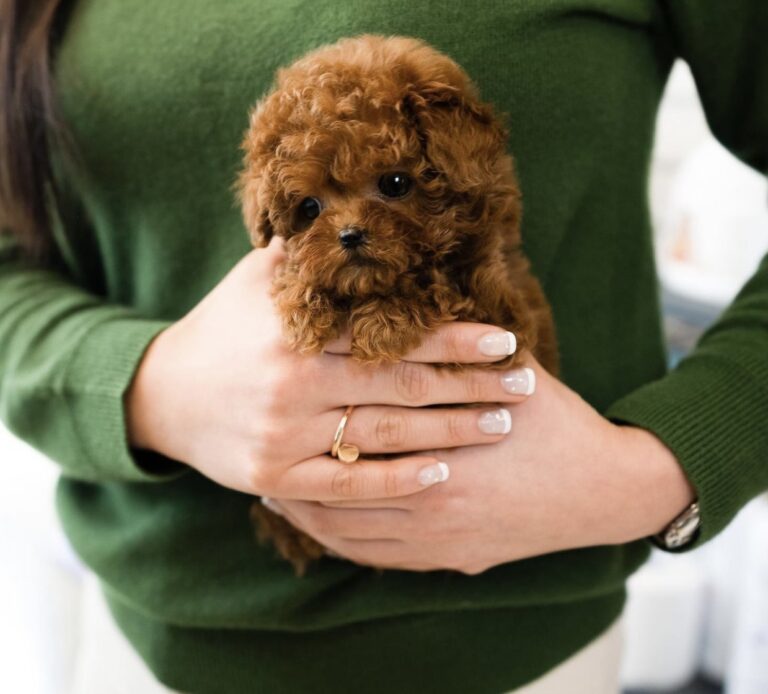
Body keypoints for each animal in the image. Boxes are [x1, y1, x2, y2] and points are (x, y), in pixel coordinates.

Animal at [237, 32, 556, 576]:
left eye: (395, 183)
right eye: (309, 208)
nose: (349, 235)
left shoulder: (502, 315)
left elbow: (438, 285)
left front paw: (386, 318)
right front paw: (304, 301)